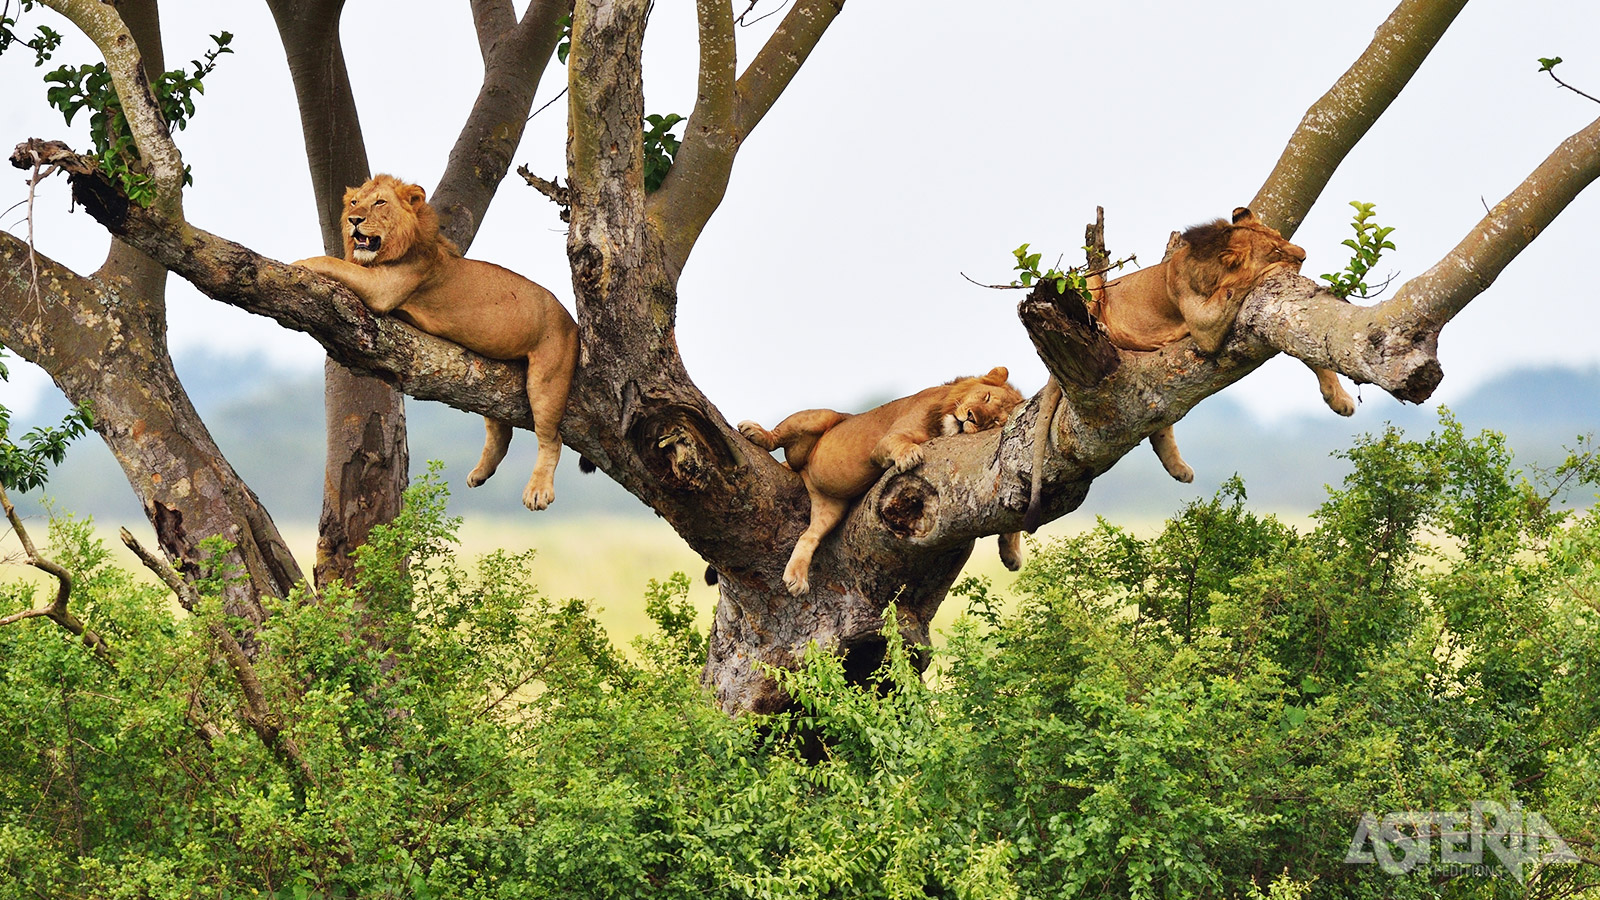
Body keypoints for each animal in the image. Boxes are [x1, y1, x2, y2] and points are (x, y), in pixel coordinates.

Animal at [296, 173, 582, 512]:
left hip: (548, 378)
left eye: (379, 202)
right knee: (500, 429)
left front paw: (299, 261)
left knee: (551, 437)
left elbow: (334, 263)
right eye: (354, 202)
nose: (355, 219)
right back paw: (480, 473)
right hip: (496, 376)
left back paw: (538, 491)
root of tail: (572, 322)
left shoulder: (383, 288)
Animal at [739, 365, 1024, 595]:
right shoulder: (886, 441)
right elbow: (899, 442)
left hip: (831, 507)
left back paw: (797, 579)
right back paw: (756, 432)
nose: (972, 417)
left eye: (995, 420)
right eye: (986, 397)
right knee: (779, 434)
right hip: (821, 418)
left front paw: (1011, 553)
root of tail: (804, 471)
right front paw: (909, 455)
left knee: (809, 536)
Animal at [1024, 206, 1350, 528]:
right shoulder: (1203, 326)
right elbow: (1236, 287)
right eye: (1275, 249)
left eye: (1281, 236)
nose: (1304, 254)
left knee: (1158, 424)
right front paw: (1269, 271)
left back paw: (1179, 469)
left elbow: (1309, 352)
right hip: (1092, 298)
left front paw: (1340, 399)